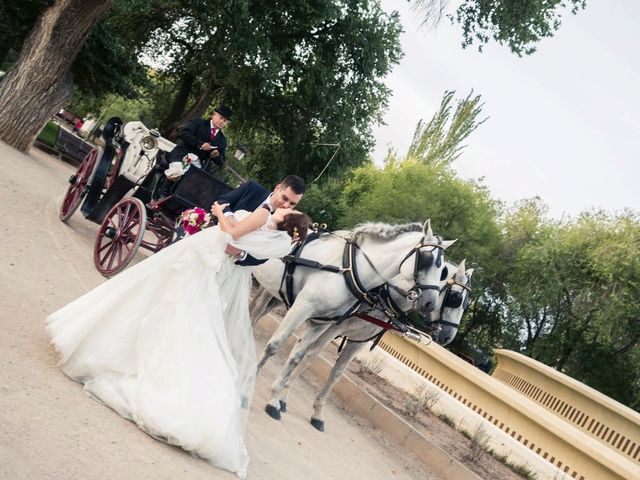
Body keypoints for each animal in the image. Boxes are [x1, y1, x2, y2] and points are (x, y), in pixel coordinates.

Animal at [252, 260, 472, 430]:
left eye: (466, 303)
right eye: (455, 298)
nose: (447, 336)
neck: (383, 295)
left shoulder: (356, 343)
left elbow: (336, 373)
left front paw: (317, 413)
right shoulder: (332, 328)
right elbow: (310, 356)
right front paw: (282, 398)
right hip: (272, 292)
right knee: (256, 312)